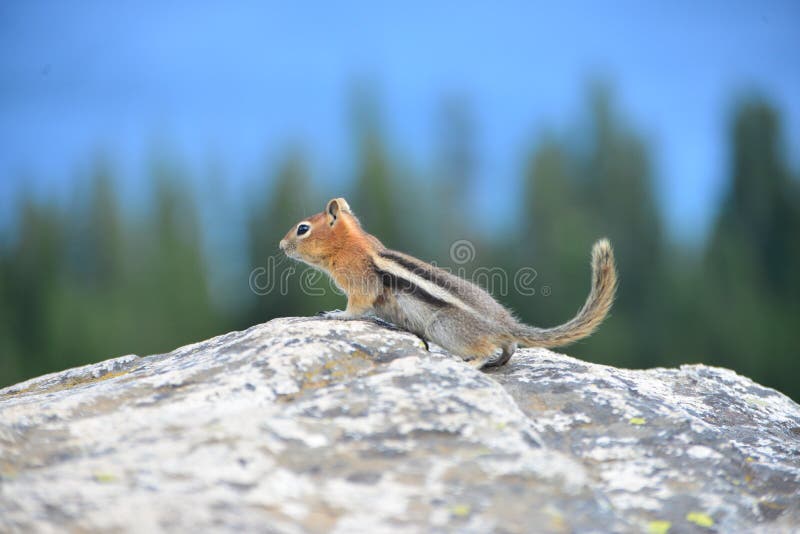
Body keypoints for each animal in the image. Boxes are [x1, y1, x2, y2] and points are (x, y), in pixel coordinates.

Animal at [282, 199, 620, 370]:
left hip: (445, 327)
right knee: (509, 347)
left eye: (302, 229)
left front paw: (334, 314)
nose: (281, 245)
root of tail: (503, 323)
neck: (351, 245)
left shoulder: (359, 281)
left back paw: (471, 364)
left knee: (484, 349)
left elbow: (357, 307)